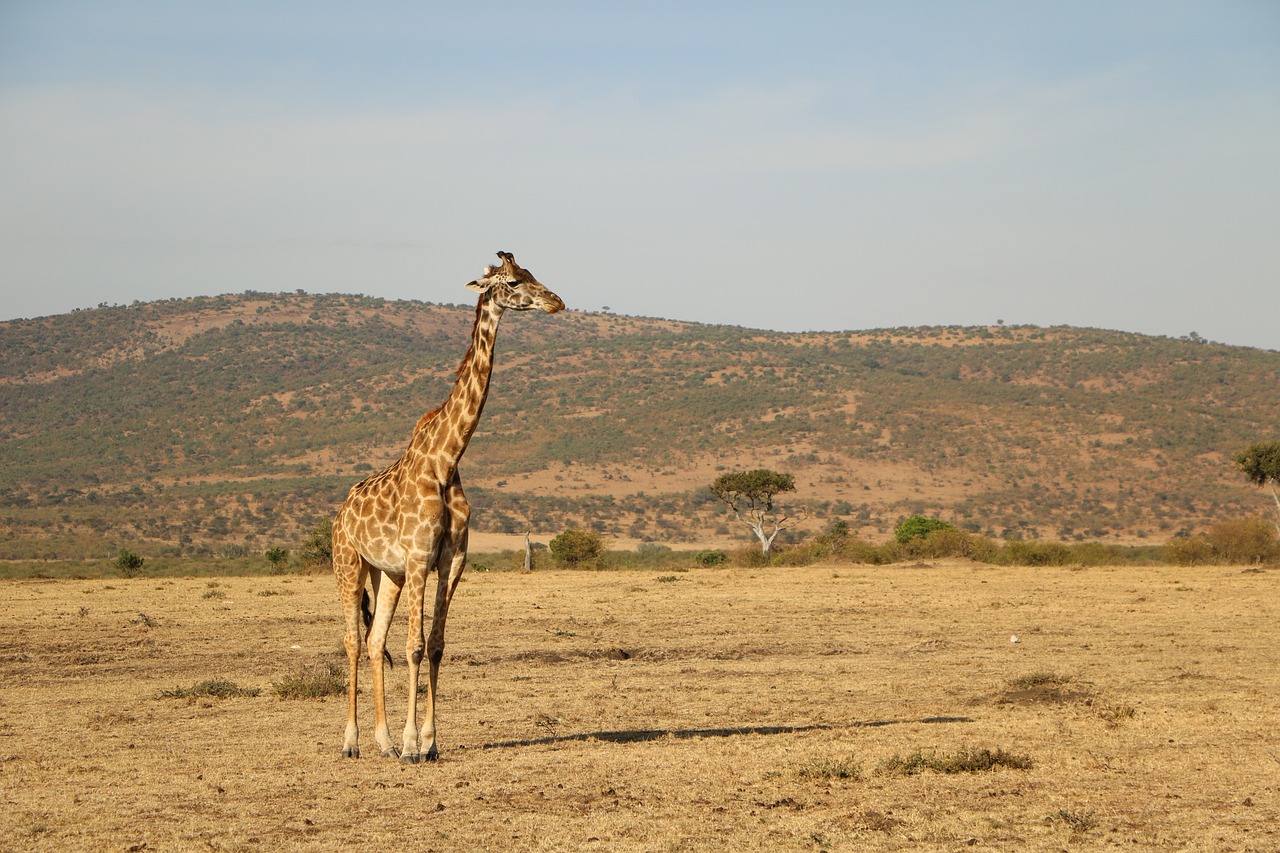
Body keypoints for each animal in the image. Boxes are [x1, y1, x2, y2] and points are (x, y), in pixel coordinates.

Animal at [332, 251, 563, 758]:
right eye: (513, 282)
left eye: (534, 274)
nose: (557, 302)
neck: (447, 459)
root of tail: (339, 514)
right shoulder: (420, 557)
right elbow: (415, 645)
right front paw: (412, 745)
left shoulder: (450, 560)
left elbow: (436, 644)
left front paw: (429, 742)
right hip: (349, 565)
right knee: (353, 641)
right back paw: (352, 742)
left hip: (387, 574)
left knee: (375, 641)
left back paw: (382, 743)